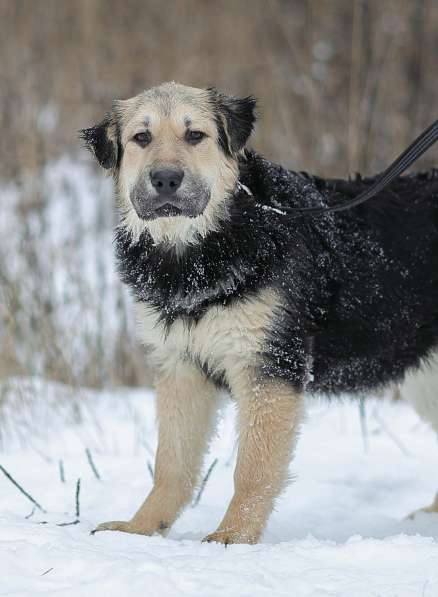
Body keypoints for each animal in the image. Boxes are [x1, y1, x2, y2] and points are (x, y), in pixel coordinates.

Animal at [81, 81, 438, 544]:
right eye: (141, 138)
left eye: (194, 135)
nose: (165, 179)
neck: (201, 251)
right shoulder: (180, 367)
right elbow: (171, 466)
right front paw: (139, 529)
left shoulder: (267, 368)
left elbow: (252, 470)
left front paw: (233, 537)